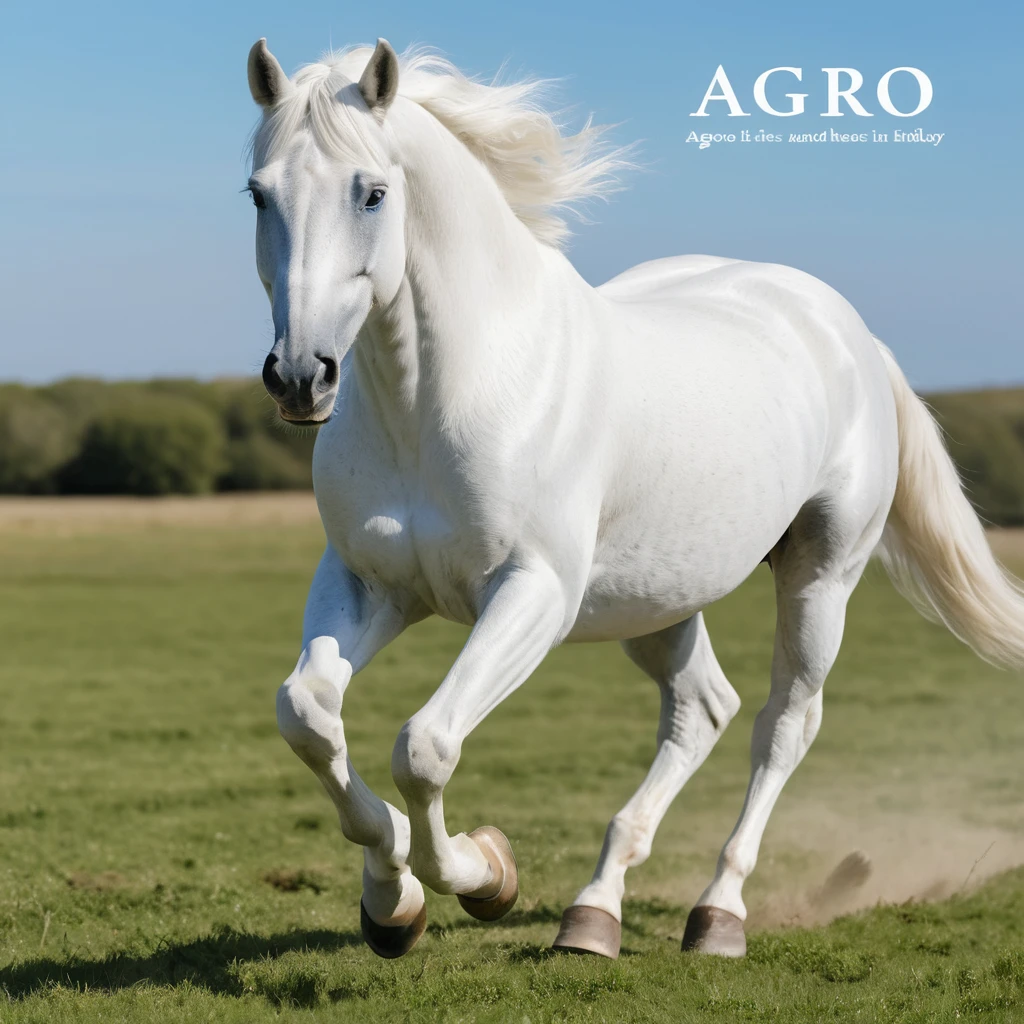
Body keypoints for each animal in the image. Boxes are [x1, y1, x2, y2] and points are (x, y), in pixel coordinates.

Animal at [244, 37, 1024, 960]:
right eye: (258, 193)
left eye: (372, 192)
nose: (301, 377)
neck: (446, 396)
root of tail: (853, 336)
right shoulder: (370, 585)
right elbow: (308, 716)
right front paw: (390, 900)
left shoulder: (532, 595)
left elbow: (425, 745)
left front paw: (485, 874)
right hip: (655, 600)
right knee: (702, 710)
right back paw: (594, 913)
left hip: (819, 579)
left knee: (781, 727)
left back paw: (717, 914)